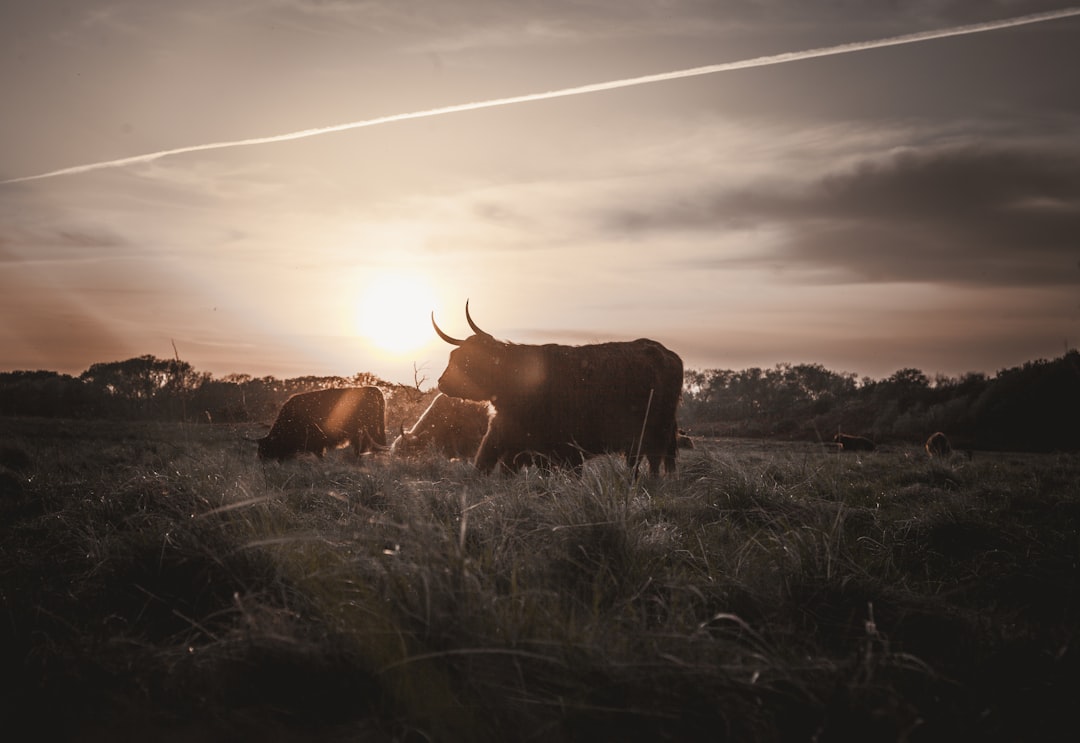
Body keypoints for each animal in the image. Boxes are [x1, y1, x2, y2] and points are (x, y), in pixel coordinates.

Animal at [254, 386, 386, 462]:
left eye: (266, 447)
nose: (261, 459)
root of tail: (373, 389)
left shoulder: (318, 442)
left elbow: (320, 455)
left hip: (366, 430)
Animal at [432, 302, 678, 475]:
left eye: (467, 360)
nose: (441, 382)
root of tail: (665, 352)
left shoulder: (562, 447)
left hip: (657, 430)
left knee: (654, 461)